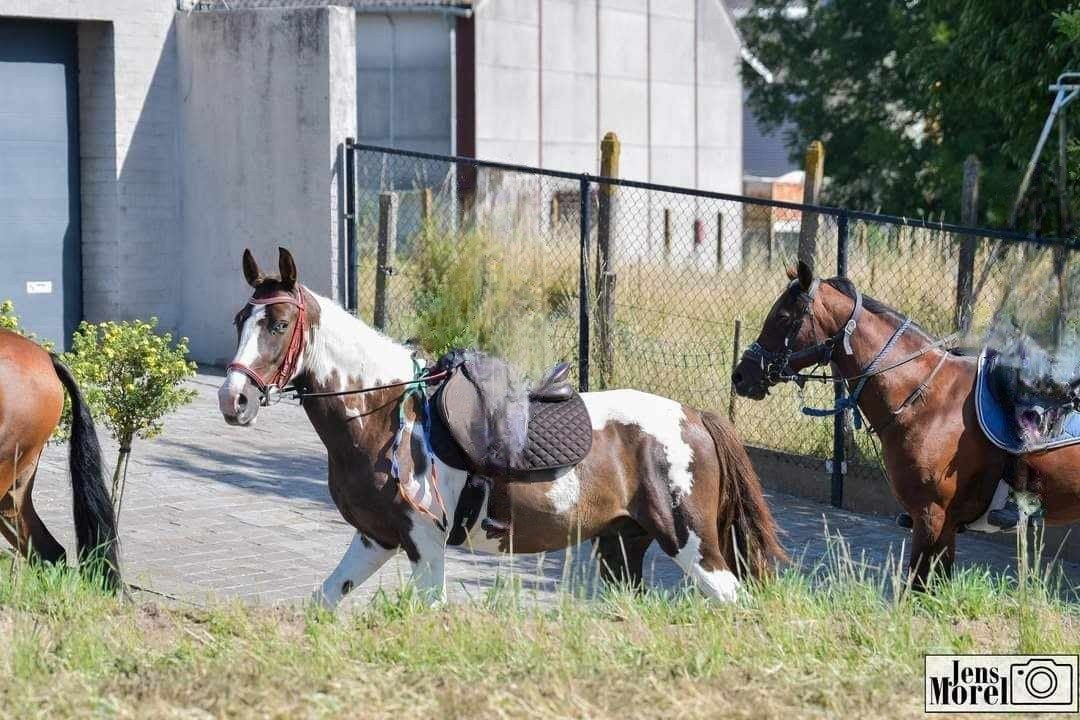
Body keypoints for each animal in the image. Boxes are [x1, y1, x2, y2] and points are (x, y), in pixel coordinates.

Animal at [218, 248, 785, 606]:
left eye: (279, 324)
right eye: (240, 320)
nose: (233, 399)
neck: (382, 412)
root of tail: (695, 418)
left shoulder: (423, 544)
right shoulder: (375, 539)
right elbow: (324, 601)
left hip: (691, 545)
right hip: (622, 548)